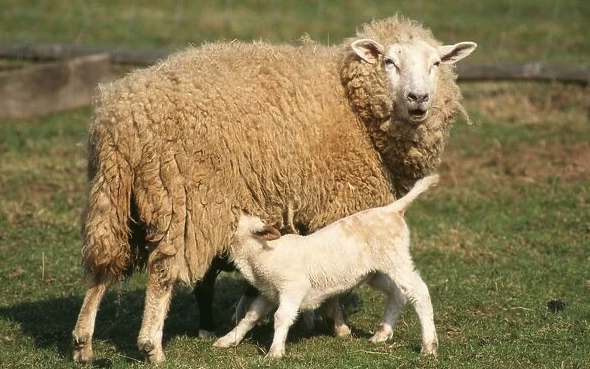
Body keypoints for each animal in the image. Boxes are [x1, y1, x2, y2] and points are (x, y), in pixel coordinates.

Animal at [215, 174, 442, 356]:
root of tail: (391, 210)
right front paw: (228, 340)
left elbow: (281, 317)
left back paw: (428, 345)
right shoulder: (269, 293)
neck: (261, 256)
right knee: (397, 293)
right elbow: (250, 316)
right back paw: (382, 334)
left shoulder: (293, 288)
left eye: (238, 216)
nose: (229, 206)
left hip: (396, 258)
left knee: (419, 292)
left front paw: (275, 351)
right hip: (375, 271)